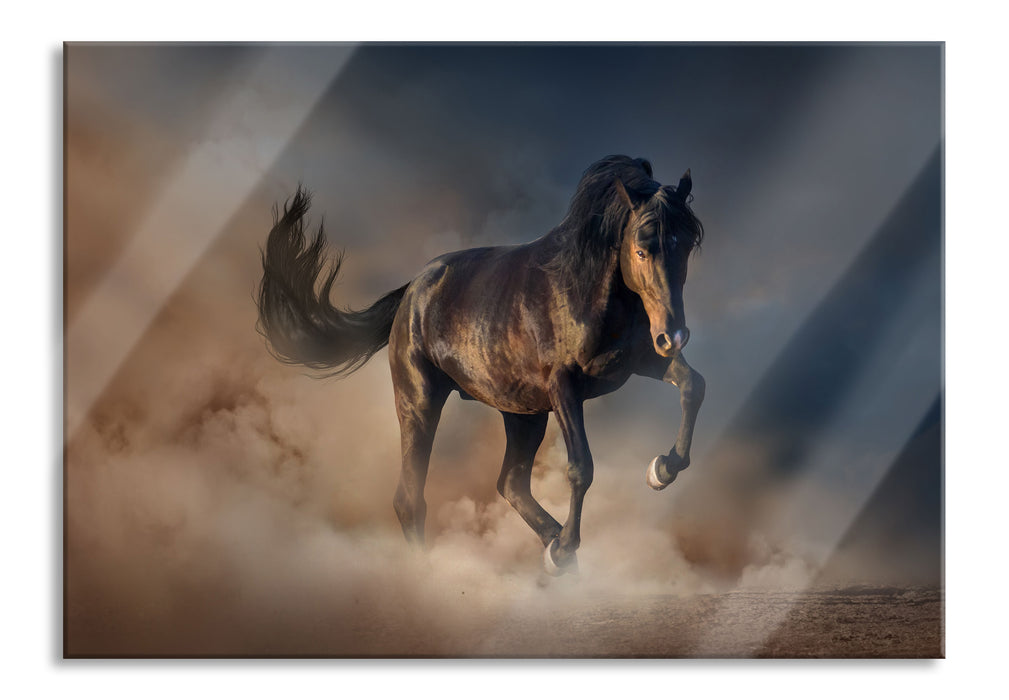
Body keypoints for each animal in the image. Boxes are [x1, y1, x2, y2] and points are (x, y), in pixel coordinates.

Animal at [257, 155, 706, 575]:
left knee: (511, 483)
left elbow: (693, 385)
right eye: (641, 250)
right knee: (411, 498)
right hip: (420, 401)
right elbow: (582, 467)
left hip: (524, 413)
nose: (675, 335)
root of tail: (413, 290)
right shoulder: (565, 387)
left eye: (686, 246)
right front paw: (565, 547)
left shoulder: (642, 360)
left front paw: (662, 470)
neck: (585, 290)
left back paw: (555, 552)